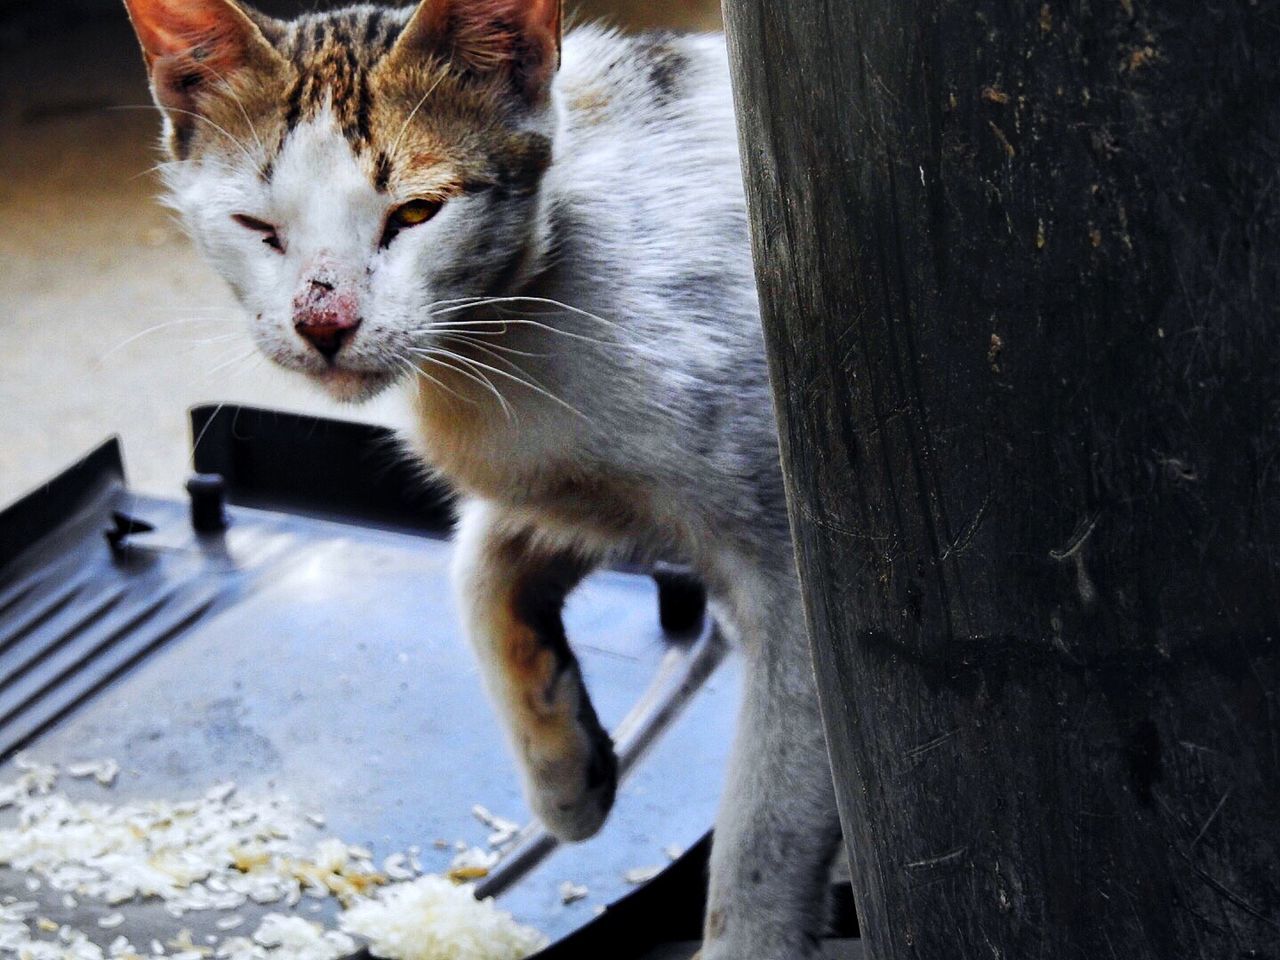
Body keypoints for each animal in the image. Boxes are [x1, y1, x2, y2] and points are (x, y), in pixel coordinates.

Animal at [124, 3, 844, 957]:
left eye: (417, 211)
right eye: (257, 227)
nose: (324, 322)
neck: (509, 342)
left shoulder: (797, 587)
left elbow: (766, 828)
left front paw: (745, 927)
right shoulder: (564, 487)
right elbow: (478, 565)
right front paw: (566, 774)